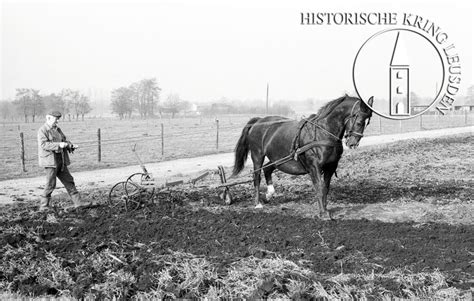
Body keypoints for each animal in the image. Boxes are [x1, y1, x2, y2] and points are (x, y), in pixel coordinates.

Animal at [231, 94, 372, 218]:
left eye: (367, 122)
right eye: (359, 121)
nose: (353, 143)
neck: (322, 133)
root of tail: (258, 121)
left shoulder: (331, 167)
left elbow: (325, 188)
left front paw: (325, 209)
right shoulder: (314, 167)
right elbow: (319, 187)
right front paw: (323, 213)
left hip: (278, 159)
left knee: (267, 169)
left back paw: (269, 194)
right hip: (257, 155)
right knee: (256, 176)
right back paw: (257, 203)